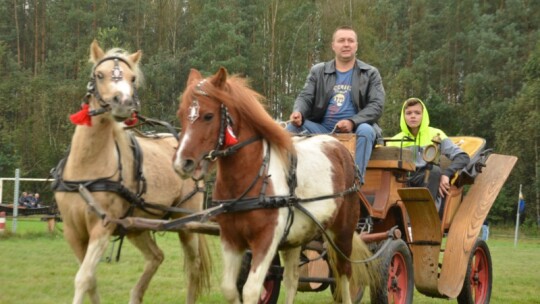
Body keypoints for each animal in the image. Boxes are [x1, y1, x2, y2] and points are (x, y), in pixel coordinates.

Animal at [53, 40, 211, 304]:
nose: (124, 103)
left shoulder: (102, 227)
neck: (87, 168)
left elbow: (82, 278)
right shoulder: (72, 231)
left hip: (187, 222)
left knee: (193, 267)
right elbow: (90, 280)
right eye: (99, 74)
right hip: (137, 225)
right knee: (156, 256)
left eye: (133, 77)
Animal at [175, 67, 374, 302]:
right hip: (296, 238)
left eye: (208, 116)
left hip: (343, 233)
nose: (182, 163)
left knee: (344, 275)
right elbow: (230, 288)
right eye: (181, 114)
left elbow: (251, 290)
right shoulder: (231, 239)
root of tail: (338, 144)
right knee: (292, 279)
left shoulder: (267, 239)